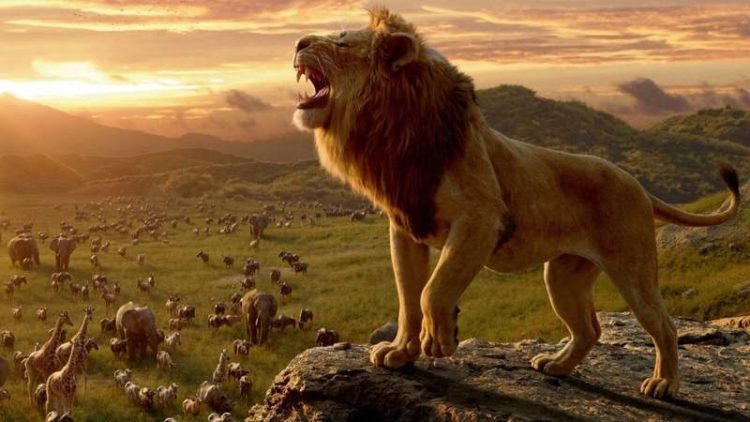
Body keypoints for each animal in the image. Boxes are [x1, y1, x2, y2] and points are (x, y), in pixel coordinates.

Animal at [291, 8, 741, 399]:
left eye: (342, 42)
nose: (297, 42)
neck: (391, 131)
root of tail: (639, 185)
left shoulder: (482, 219)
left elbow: (433, 290)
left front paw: (440, 340)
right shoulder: (406, 227)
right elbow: (407, 297)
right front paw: (401, 353)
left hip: (633, 269)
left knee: (663, 325)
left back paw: (664, 384)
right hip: (563, 276)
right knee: (589, 329)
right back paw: (556, 366)